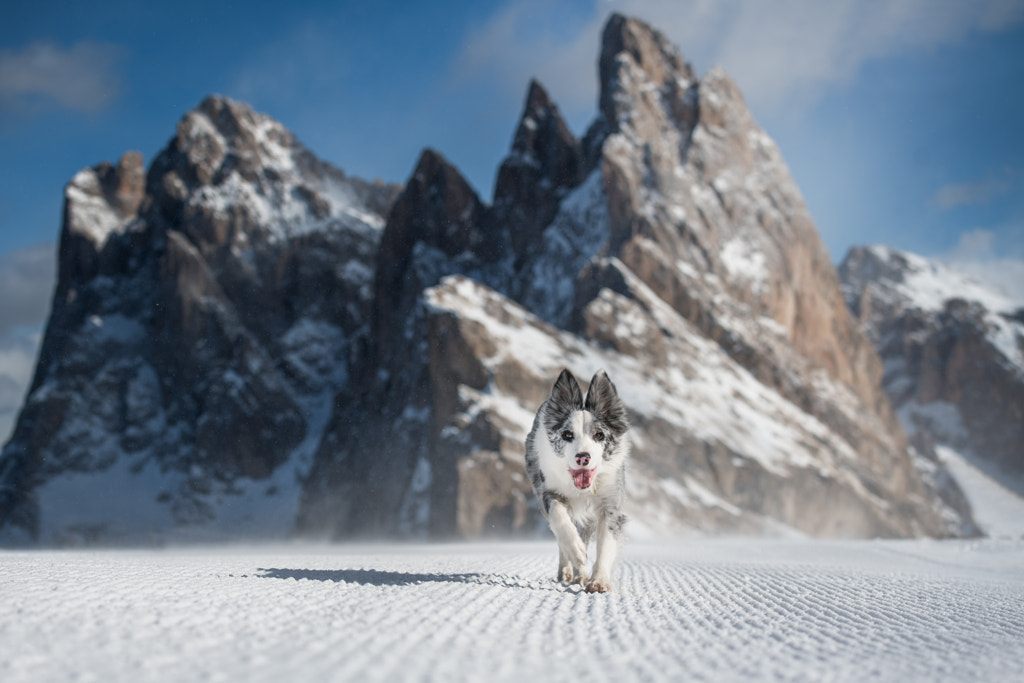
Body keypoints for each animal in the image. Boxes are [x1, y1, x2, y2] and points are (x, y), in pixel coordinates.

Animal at [524, 368, 626, 593]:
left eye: (599, 435)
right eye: (567, 435)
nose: (583, 457)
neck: (580, 488)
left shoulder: (609, 503)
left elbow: (606, 543)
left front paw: (599, 581)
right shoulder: (550, 492)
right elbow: (561, 522)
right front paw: (576, 550)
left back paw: (581, 575)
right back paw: (568, 570)